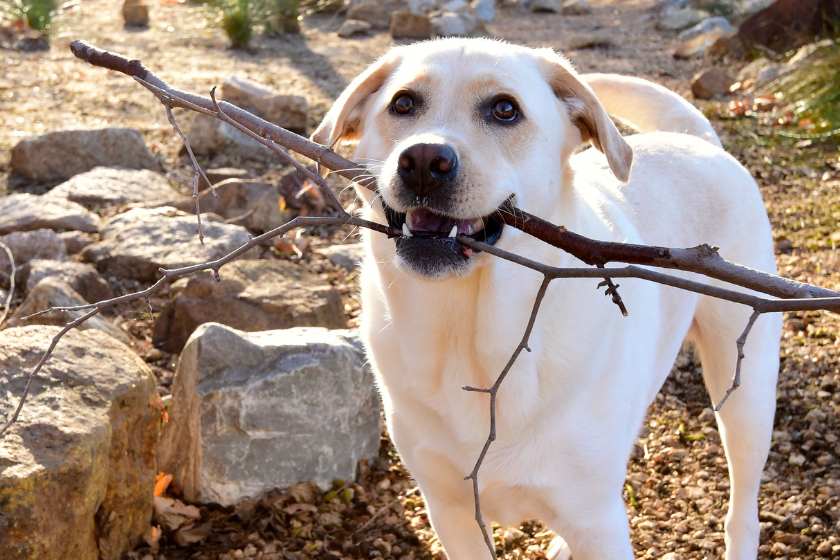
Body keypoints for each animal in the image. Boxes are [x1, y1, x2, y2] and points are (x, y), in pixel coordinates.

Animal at [312, 39, 784, 560]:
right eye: (402, 104)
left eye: (505, 110)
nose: (423, 161)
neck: (471, 338)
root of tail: (700, 141)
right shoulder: (451, 513)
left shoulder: (599, 524)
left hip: (746, 390)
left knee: (743, 507)